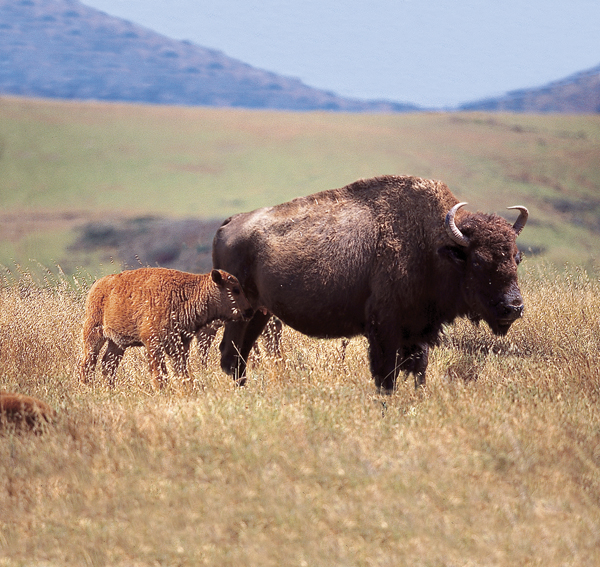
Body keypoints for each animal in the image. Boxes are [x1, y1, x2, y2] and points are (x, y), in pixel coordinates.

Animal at [78, 268, 252, 388]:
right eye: (235, 290)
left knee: (108, 365)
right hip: (94, 335)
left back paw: (110, 389)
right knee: (88, 363)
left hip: (117, 343)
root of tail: (97, 285)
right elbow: (159, 374)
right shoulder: (154, 345)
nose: (249, 310)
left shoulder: (181, 345)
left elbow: (182, 370)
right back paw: (87, 387)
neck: (188, 293)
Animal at [213, 175, 528, 392]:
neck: (432, 244)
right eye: (477, 261)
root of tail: (229, 223)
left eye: (517, 257)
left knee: (238, 358)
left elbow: (418, 372)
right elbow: (386, 377)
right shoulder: (384, 328)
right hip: (241, 314)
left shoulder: (419, 330)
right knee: (230, 356)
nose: (513, 307)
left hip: (259, 314)